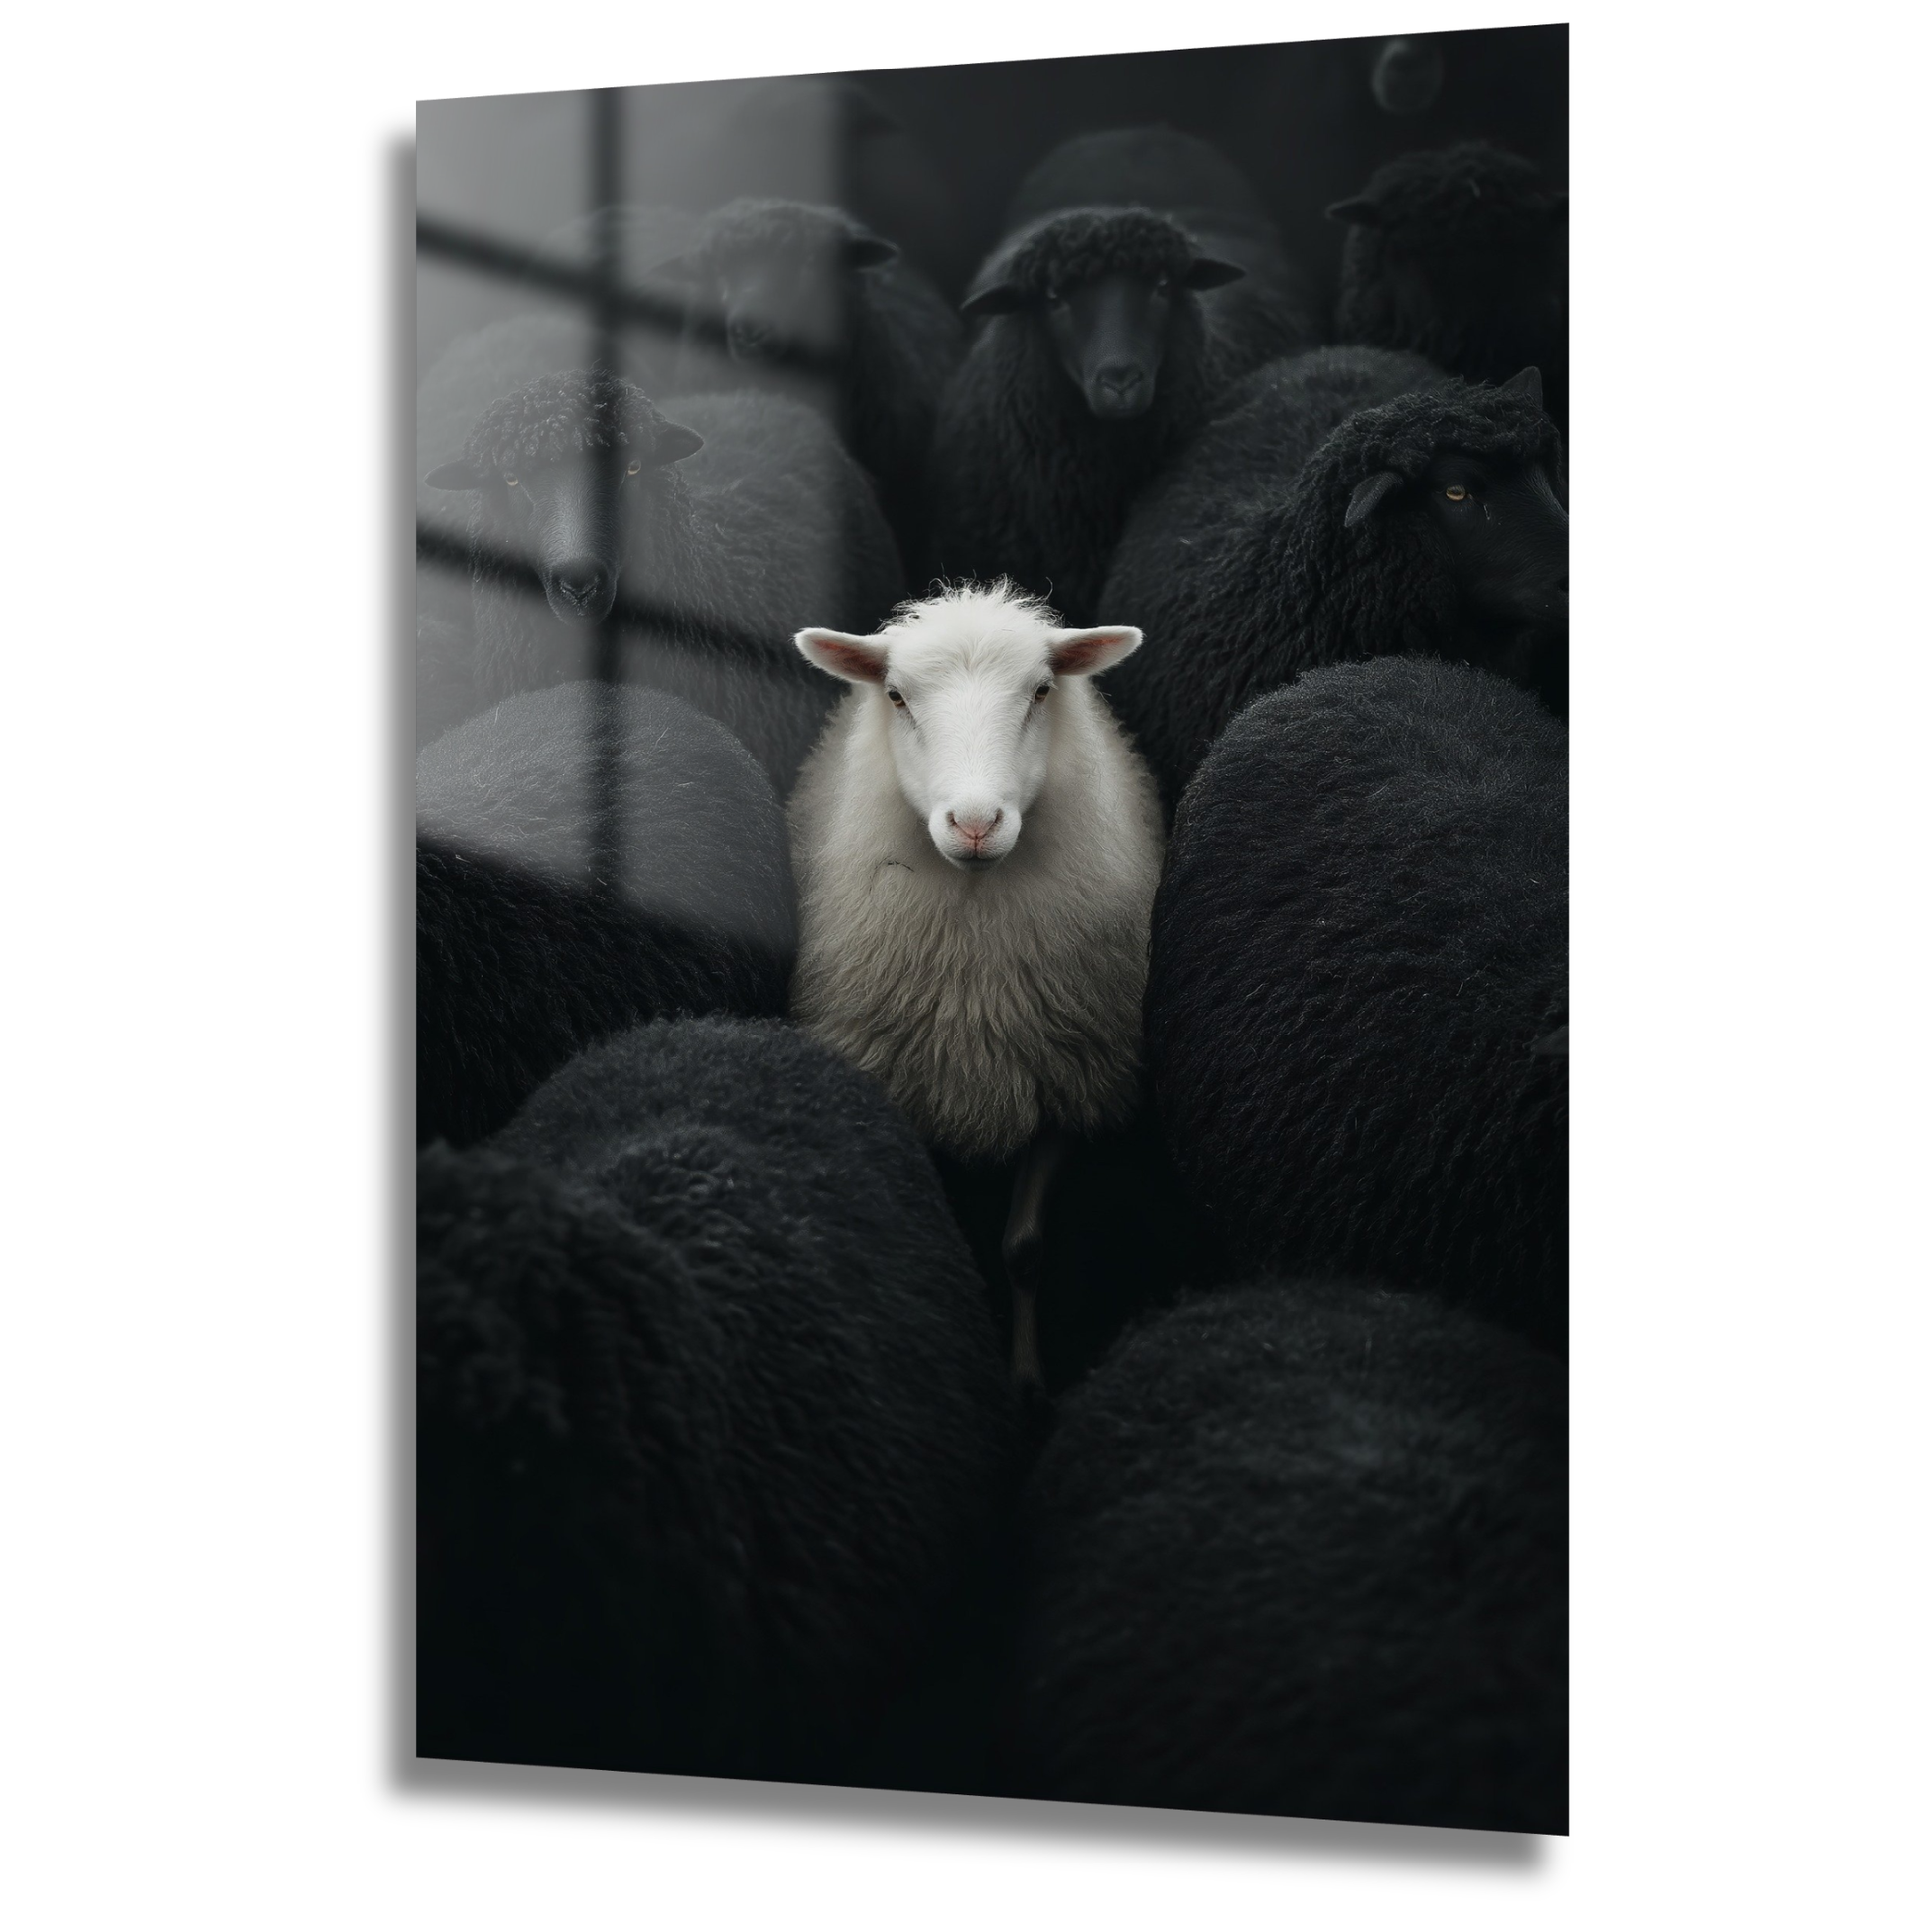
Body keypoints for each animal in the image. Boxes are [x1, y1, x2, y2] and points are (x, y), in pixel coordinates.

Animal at [788, 580, 1165, 1388]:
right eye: (896, 696)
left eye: (1042, 691)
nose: (974, 822)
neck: (975, 975)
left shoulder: (1064, 1083)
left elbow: (1023, 1250)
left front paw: (1025, 1378)